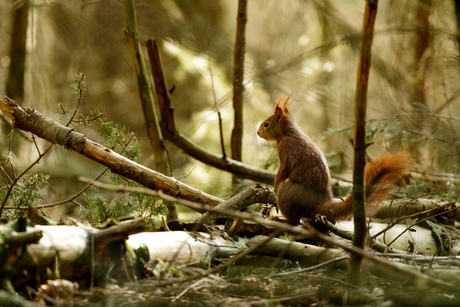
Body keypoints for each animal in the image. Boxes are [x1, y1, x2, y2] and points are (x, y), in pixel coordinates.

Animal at [256, 95, 412, 225]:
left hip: (289, 193)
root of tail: (319, 205)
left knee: (294, 221)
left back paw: (281, 219)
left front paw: (275, 185)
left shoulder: (288, 149)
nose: (257, 133)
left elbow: (285, 169)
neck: (287, 133)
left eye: (266, 124)